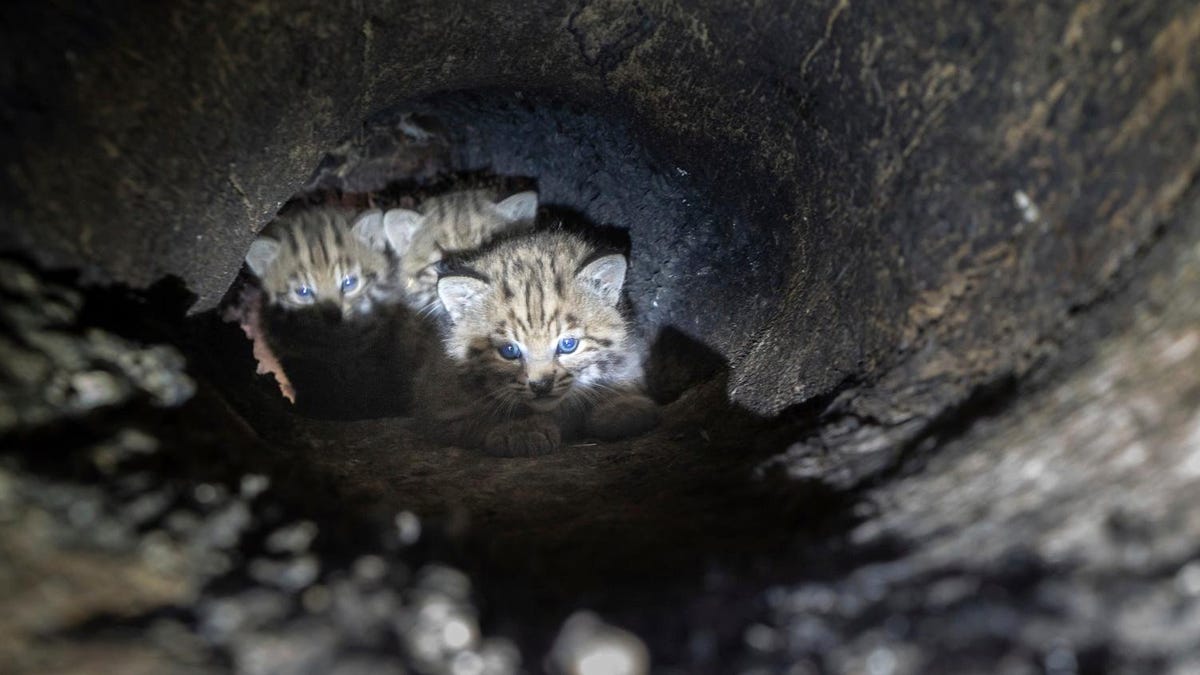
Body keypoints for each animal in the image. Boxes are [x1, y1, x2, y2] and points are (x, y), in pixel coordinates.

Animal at [420, 228, 657, 454]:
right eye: (509, 350)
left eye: (568, 345)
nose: (541, 386)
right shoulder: (441, 407)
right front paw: (521, 429)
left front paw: (621, 405)